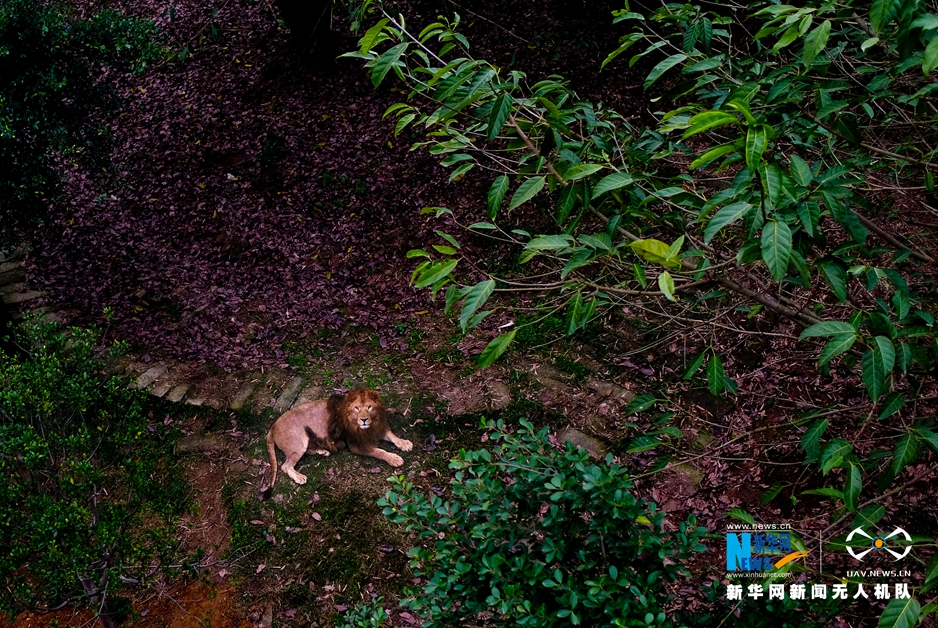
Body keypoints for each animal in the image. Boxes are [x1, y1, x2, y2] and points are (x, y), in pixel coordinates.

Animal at [262, 388, 412, 496]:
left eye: (369, 407)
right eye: (357, 408)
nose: (364, 420)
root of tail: (272, 427)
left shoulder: (376, 429)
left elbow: (392, 435)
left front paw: (404, 443)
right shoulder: (356, 445)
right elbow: (379, 452)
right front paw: (395, 459)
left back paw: (323, 452)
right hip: (298, 443)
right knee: (285, 466)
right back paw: (300, 477)